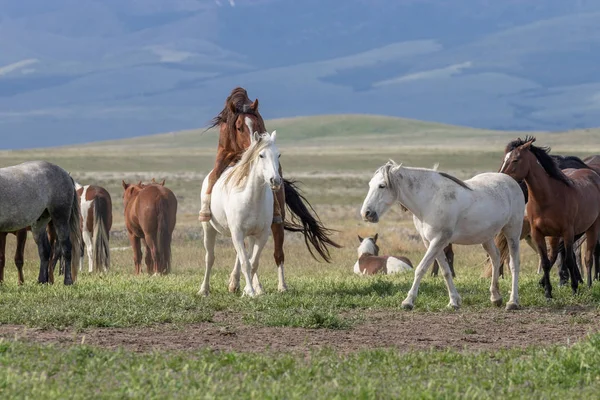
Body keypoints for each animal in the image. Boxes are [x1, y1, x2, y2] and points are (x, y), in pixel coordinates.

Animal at [198, 131, 280, 296]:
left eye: (278, 155)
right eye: (261, 155)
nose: (275, 180)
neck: (252, 199)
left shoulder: (261, 235)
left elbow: (253, 263)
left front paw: (249, 290)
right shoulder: (237, 232)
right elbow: (246, 264)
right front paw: (251, 293)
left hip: (249, 236)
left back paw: (235, 284)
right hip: (208, 228)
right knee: (209, 257)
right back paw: (204, 289)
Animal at [360, 161, 524, 310]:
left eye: (382, 185)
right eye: (370, 184)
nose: (366, 213)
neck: (429, 201)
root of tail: (512, 182)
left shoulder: (438, 240)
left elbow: (421, 268)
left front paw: (408, 301)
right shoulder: (431, 242)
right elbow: (445, 271)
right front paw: (454, 301)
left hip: (513, 233)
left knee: (514, 264)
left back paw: (513, 302)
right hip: (486, 237)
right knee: (496, 258)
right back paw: (495, 297)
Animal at [500, 138, 600, 296]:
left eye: (516, 159)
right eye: (505, 158)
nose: (501, 177)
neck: (548, 198)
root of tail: (592, 173)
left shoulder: (568, 232)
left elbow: (569, 259)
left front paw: (574, 288)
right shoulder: (538, 233)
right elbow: (546, 261)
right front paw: (548, 293)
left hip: (592, 227)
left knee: (588, 256)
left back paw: (589, 284)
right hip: (556, 235)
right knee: (556, 253)